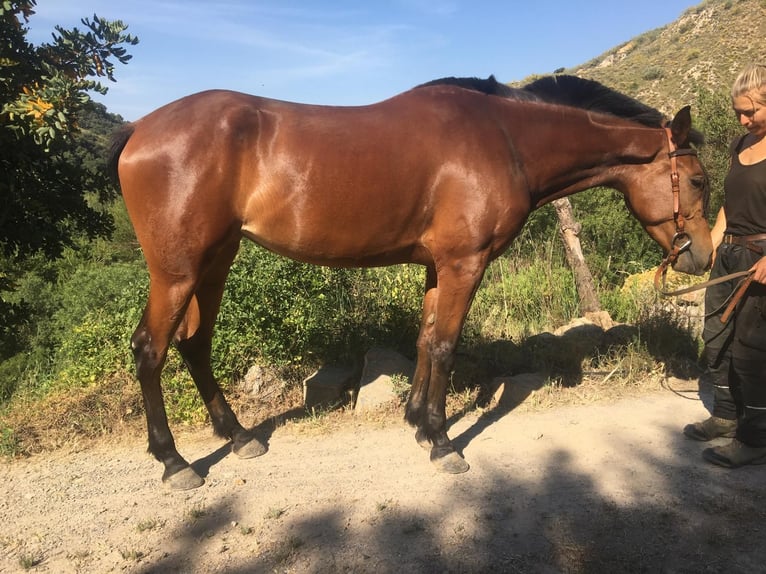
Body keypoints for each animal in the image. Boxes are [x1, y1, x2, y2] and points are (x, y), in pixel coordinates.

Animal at [109, 74, 712, 490]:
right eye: (698, 179)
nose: (702, 257)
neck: (504, 139)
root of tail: (141, 128)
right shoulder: (465, 263)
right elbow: (445, 346)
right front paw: (444, 443)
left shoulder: (436, 266)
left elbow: (425, 340)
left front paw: (419, 422)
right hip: (178, 272)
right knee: (150, 349)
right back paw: (174, 462)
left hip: (215, 261)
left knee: (195, 344)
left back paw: (238, 437)